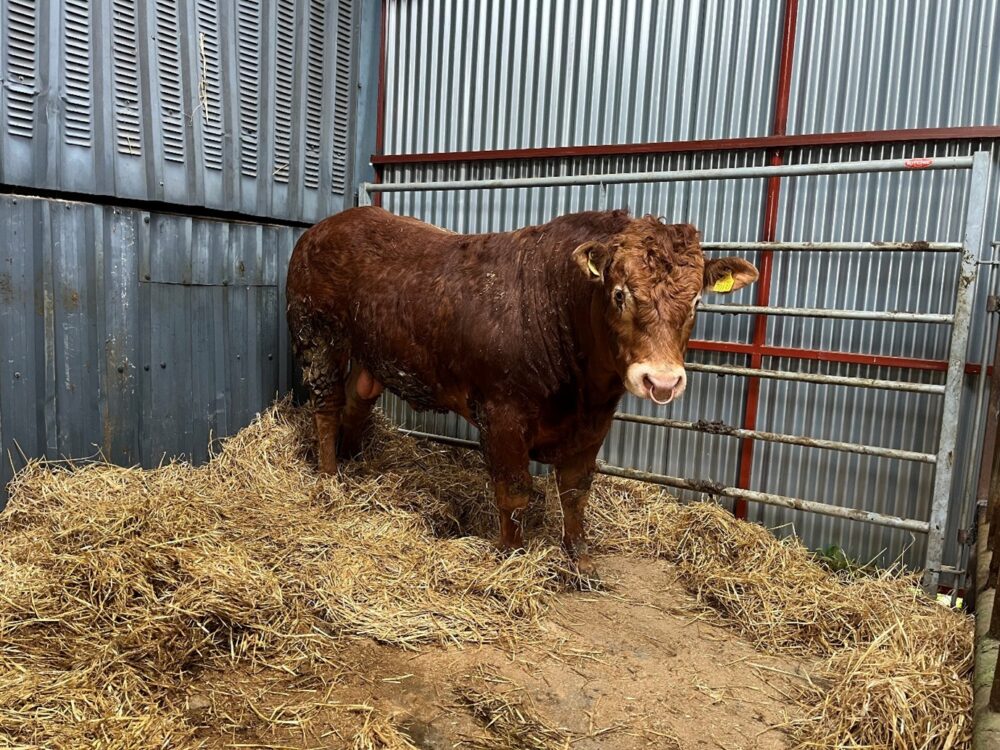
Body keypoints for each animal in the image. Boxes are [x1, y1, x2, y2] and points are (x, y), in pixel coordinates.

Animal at [286, 207, 758, 577]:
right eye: (620, 294)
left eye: (696, 301)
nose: (661, 381)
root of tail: (326, 226)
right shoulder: (502, 415)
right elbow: (514, 490)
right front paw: (512, 555)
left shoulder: (594, 423)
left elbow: (576, 490)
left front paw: (581, 558)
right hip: (317, 335)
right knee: (327, 405)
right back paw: (329, 477)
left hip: (370, 352)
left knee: (357, 400)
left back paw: (353, 461)